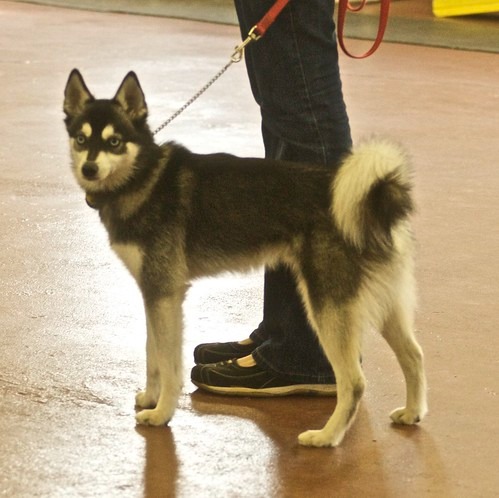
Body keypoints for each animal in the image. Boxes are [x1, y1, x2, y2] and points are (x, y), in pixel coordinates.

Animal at [63, 70, 430, 448]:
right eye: (81, 138)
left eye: (114, 142)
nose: (89, 168)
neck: (144, 178)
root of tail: (376, 196)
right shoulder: (154, 295)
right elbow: (152, 354)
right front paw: (151, 398)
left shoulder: (164, 295)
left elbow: (167, 363)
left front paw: (162, 413)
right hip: (386, 307)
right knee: (414, 355)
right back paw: (412, 412)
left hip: (327, 306)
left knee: (354, 383)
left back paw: (326, 436)